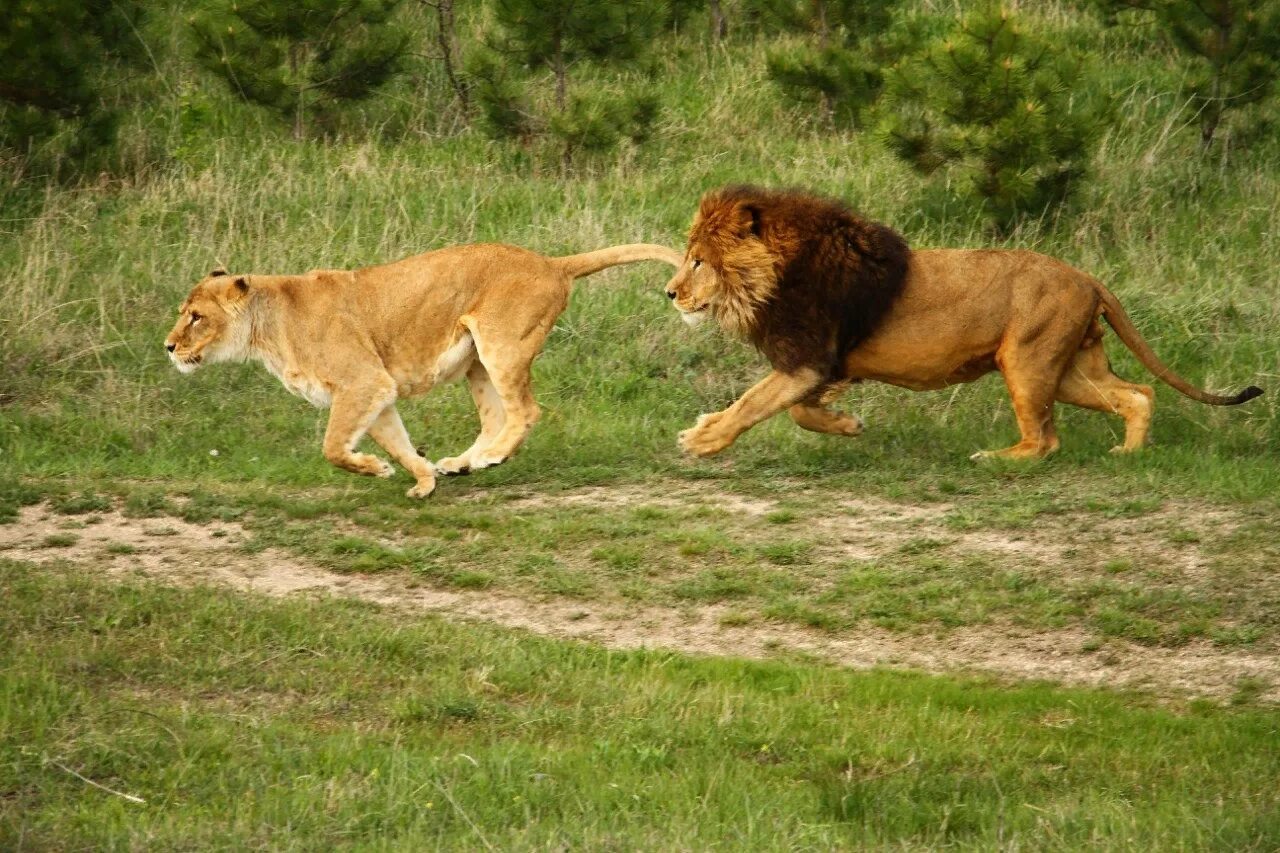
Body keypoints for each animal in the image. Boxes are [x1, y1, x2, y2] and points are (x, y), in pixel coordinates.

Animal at [167, 239, 680, 494]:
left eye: (196, 317)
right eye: (183, 312)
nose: (168, 347)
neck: (267, 327)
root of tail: (551, 263)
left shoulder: (362, 382)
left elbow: (333, 447)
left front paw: (376, 469)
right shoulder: (377, 392)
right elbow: (399, 444)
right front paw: (420, 479)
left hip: (502, 346)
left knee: (526, 412)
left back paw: (490, 458)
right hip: (477, 362)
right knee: (495, 416)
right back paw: (460, 465)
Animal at [665, 185, 1264, 458]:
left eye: (699, 261)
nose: (669, 293)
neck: (777, 274)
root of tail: (1088, 277)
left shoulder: (808, 361)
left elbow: (752, 404)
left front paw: (701, 438)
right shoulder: (823, 366)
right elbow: (796, 412)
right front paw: (847, 425)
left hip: (1025, 361)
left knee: (1044, 441)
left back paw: (995, 458)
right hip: (1067, 369)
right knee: (1138, 394)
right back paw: (1129, 453)